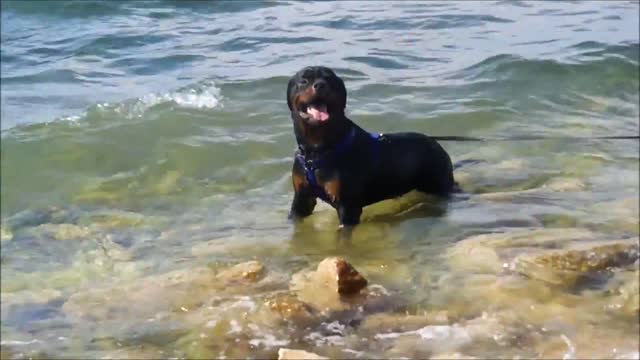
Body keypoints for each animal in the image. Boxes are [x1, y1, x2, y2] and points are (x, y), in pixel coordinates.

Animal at [284, 65, 456, 233]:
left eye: (329, 79)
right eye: (303, 80)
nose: (320, 85)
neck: (316, 149)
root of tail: (436, 143)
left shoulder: (348, 206)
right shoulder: (302, 198)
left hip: (438, 182)